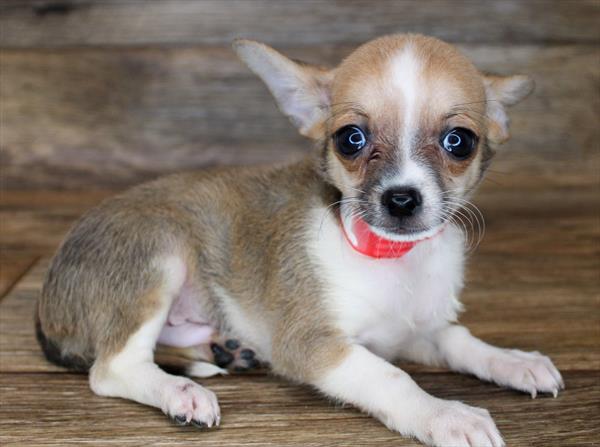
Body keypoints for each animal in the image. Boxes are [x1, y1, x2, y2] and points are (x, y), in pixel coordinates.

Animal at [36, 36, 564, 447]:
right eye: (351, 139)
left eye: (459, 141)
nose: (401, 199)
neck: (391, 258)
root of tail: (47, 306)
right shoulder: (314, 346)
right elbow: (391, 376)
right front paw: (446, 415)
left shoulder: (415, 332)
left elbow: (459, 338)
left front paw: (512, 360)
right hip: (159, 256)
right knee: (113, 367)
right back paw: (181, 392)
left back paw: (225, 351)